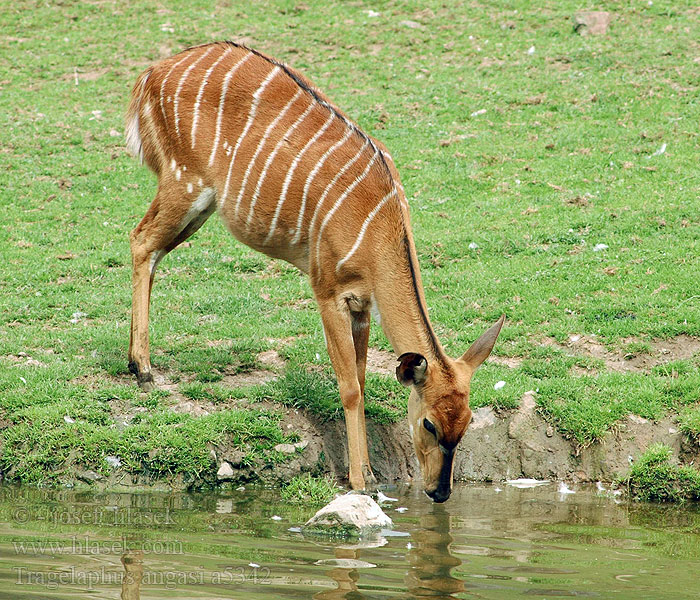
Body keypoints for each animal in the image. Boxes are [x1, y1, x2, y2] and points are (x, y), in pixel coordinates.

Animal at [126, 41, 506, 502]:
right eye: (429, 423)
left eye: (465, 424)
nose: (439, 492)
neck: (379, 223)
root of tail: (151, 74)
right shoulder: (327, 290)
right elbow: (350, 387)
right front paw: (359, 481)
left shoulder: (362, 305)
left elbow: (361, 376)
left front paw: (372, 474)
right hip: (184, 183)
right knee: (140, 240)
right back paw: (143, 368)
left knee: (150, 249)